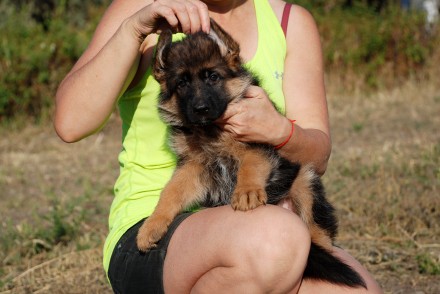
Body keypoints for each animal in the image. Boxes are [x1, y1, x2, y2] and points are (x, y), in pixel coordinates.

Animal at [137, 19, 364, 288]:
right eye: (181, 84)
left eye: (213, 77)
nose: (200, 109)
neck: (212, 129)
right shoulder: (192, 166)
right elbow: (171, 192)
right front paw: (152, 224)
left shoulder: (258, 142)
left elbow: (250, 164)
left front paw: (246, 192)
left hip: (306, 183)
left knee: (317, 232)